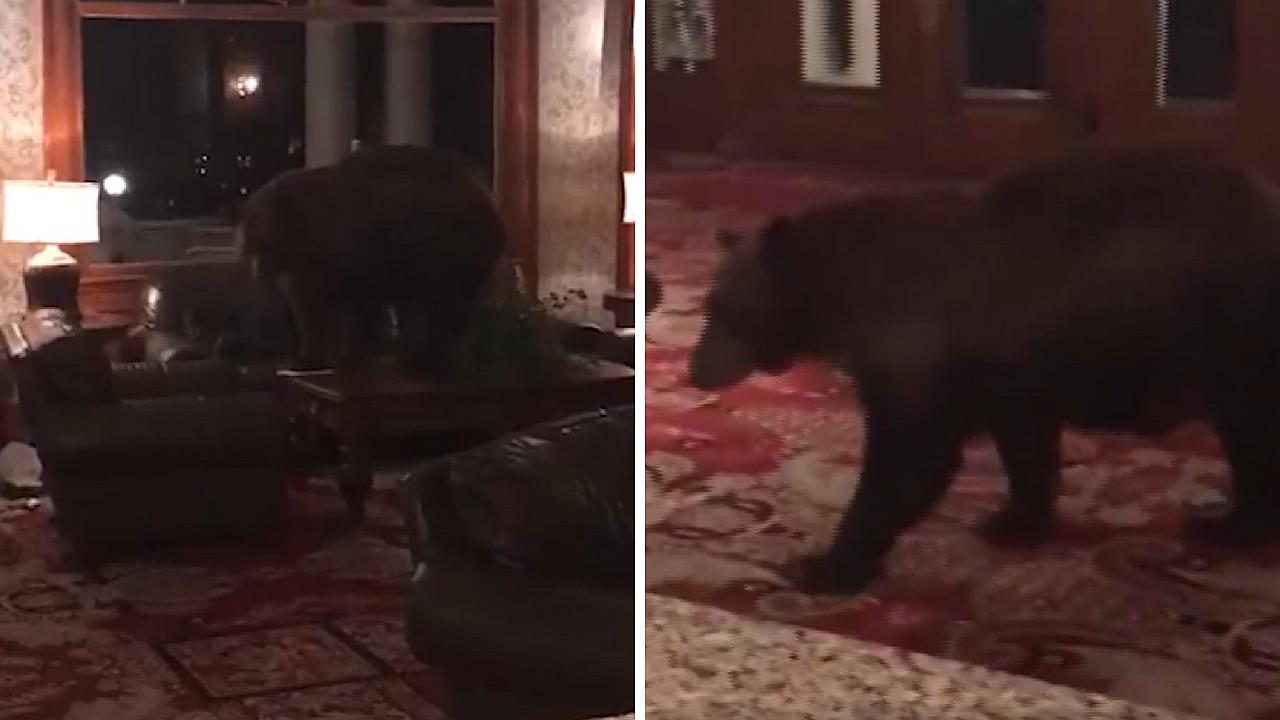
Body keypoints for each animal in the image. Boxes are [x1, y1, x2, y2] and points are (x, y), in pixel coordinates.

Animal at [238, 144, 506, 377]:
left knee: (437, 305)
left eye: (256, 227)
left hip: (446, 247)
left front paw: (312, 360)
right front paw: (341, 359)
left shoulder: (348, 249)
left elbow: (323, 305)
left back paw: (422, 366)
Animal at [689, 148, 1280, 595]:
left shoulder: (919, 358)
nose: (694, 371)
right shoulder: (1012, 376)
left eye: (723, 309)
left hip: (1232, 338)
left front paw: (832, 565)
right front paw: (1019, 520)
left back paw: (1229, 524)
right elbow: (1026, 449)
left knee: (1251, 435)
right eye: (708, 306)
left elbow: (907, 463)